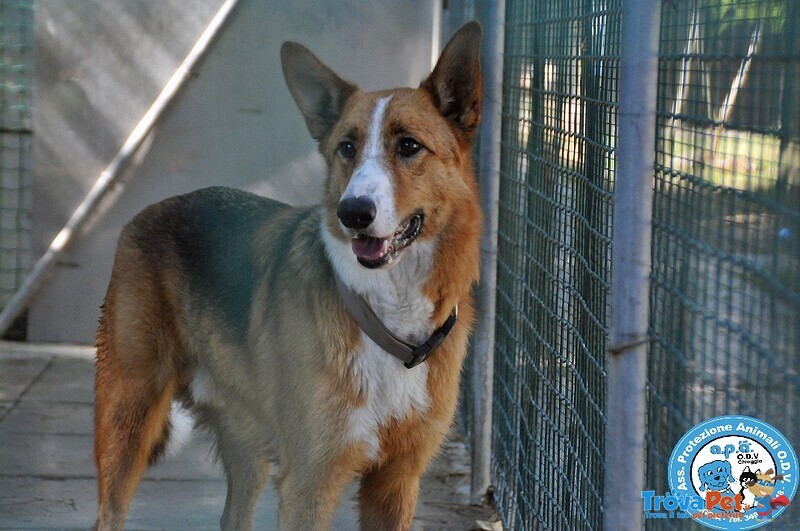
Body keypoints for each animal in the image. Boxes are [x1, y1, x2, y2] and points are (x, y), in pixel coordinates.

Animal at [91, 21, 484, 531]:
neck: (386, 319)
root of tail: (150, 210)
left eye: (409, 146)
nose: (352, 213)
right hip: (128, 418)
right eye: (347, 148)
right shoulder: (308, 483)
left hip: (245, 446)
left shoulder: (396, 482)